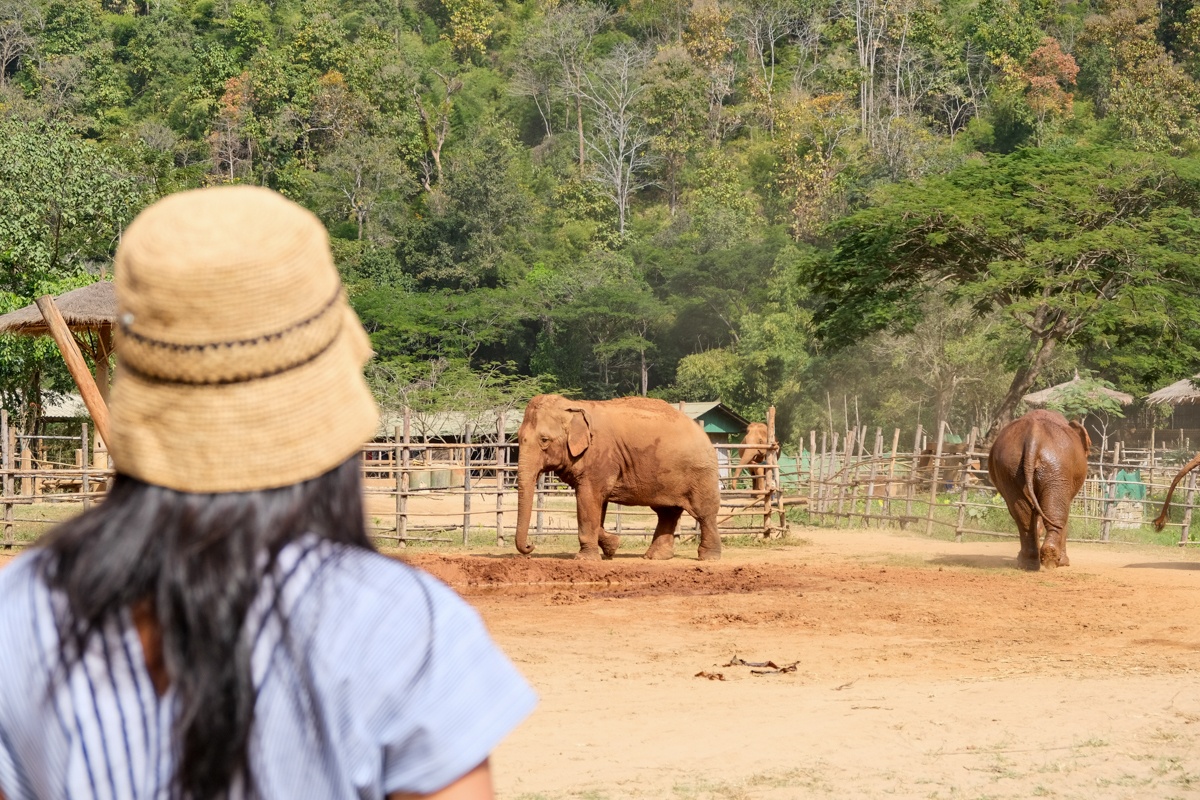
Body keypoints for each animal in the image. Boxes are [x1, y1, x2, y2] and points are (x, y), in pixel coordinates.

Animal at [513, 395, 720, 563]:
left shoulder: (601, 457)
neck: (574, 405)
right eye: (518, 438)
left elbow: (588, 500)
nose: (531, 545)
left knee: (704, 513)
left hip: (701, 473)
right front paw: (612, 546)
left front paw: (586, 558)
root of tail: (703, 432)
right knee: (667, 512)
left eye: (544, 440)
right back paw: (655, 557)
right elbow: (598, 504)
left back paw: (708, 558)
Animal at [988, 410, 1094, 573]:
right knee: (1056, 513)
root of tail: (1033, 438)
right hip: (1057, 467)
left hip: (1009, 468)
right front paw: (1064, 563)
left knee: (1022, 513)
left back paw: (1029, 563)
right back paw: (1051, 560)